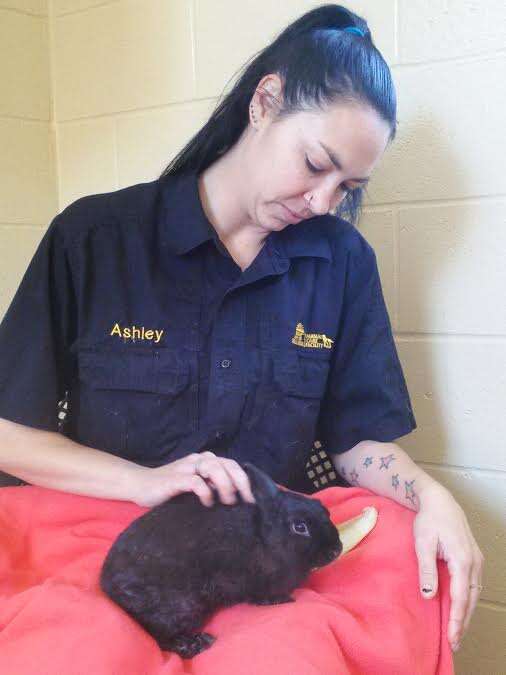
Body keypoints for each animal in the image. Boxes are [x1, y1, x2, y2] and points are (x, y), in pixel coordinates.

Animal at [100, 461, 342, 659]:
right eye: (299, 527)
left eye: (325, 510)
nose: (336, 550)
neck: (265, 535)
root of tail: (106, 586)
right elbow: (261, 595)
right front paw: (281, 600)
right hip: (182, 606)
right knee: (160, 638)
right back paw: (196, 643)